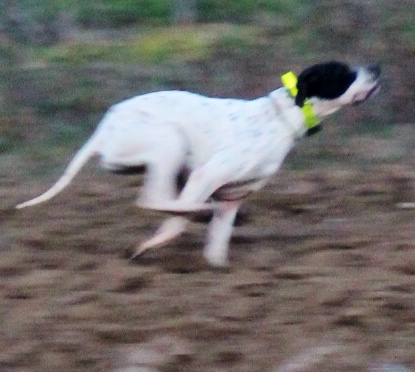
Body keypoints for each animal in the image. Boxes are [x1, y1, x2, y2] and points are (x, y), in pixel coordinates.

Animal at [17, 61, 380, 266]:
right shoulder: (206, 176)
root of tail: (103, 130)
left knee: (164, 202)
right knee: (153, 200)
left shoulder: (232, 198)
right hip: (169, 141)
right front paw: (146, 246)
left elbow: (216, 248)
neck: (281, 118)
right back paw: (195, 212)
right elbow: (175, 224)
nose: (376, 67)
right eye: (344, 73)